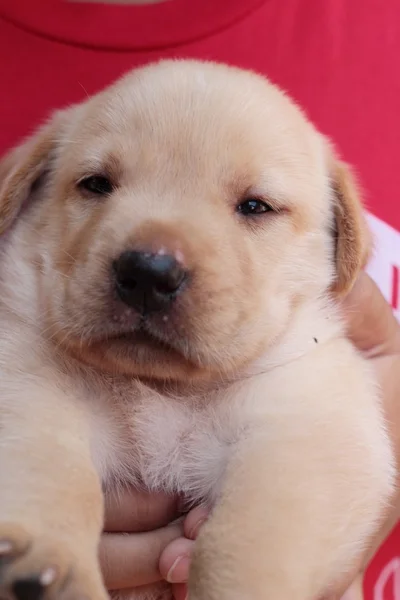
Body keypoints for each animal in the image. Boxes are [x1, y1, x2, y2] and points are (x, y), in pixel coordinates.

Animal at [0, 59, 394, 600]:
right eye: (96, 184)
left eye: (255, 206)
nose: (148, 272)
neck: (167, 388)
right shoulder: (29, 387)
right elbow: (49, 470)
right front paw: (49, 566)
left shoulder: (304, 430)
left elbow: (242, 543)